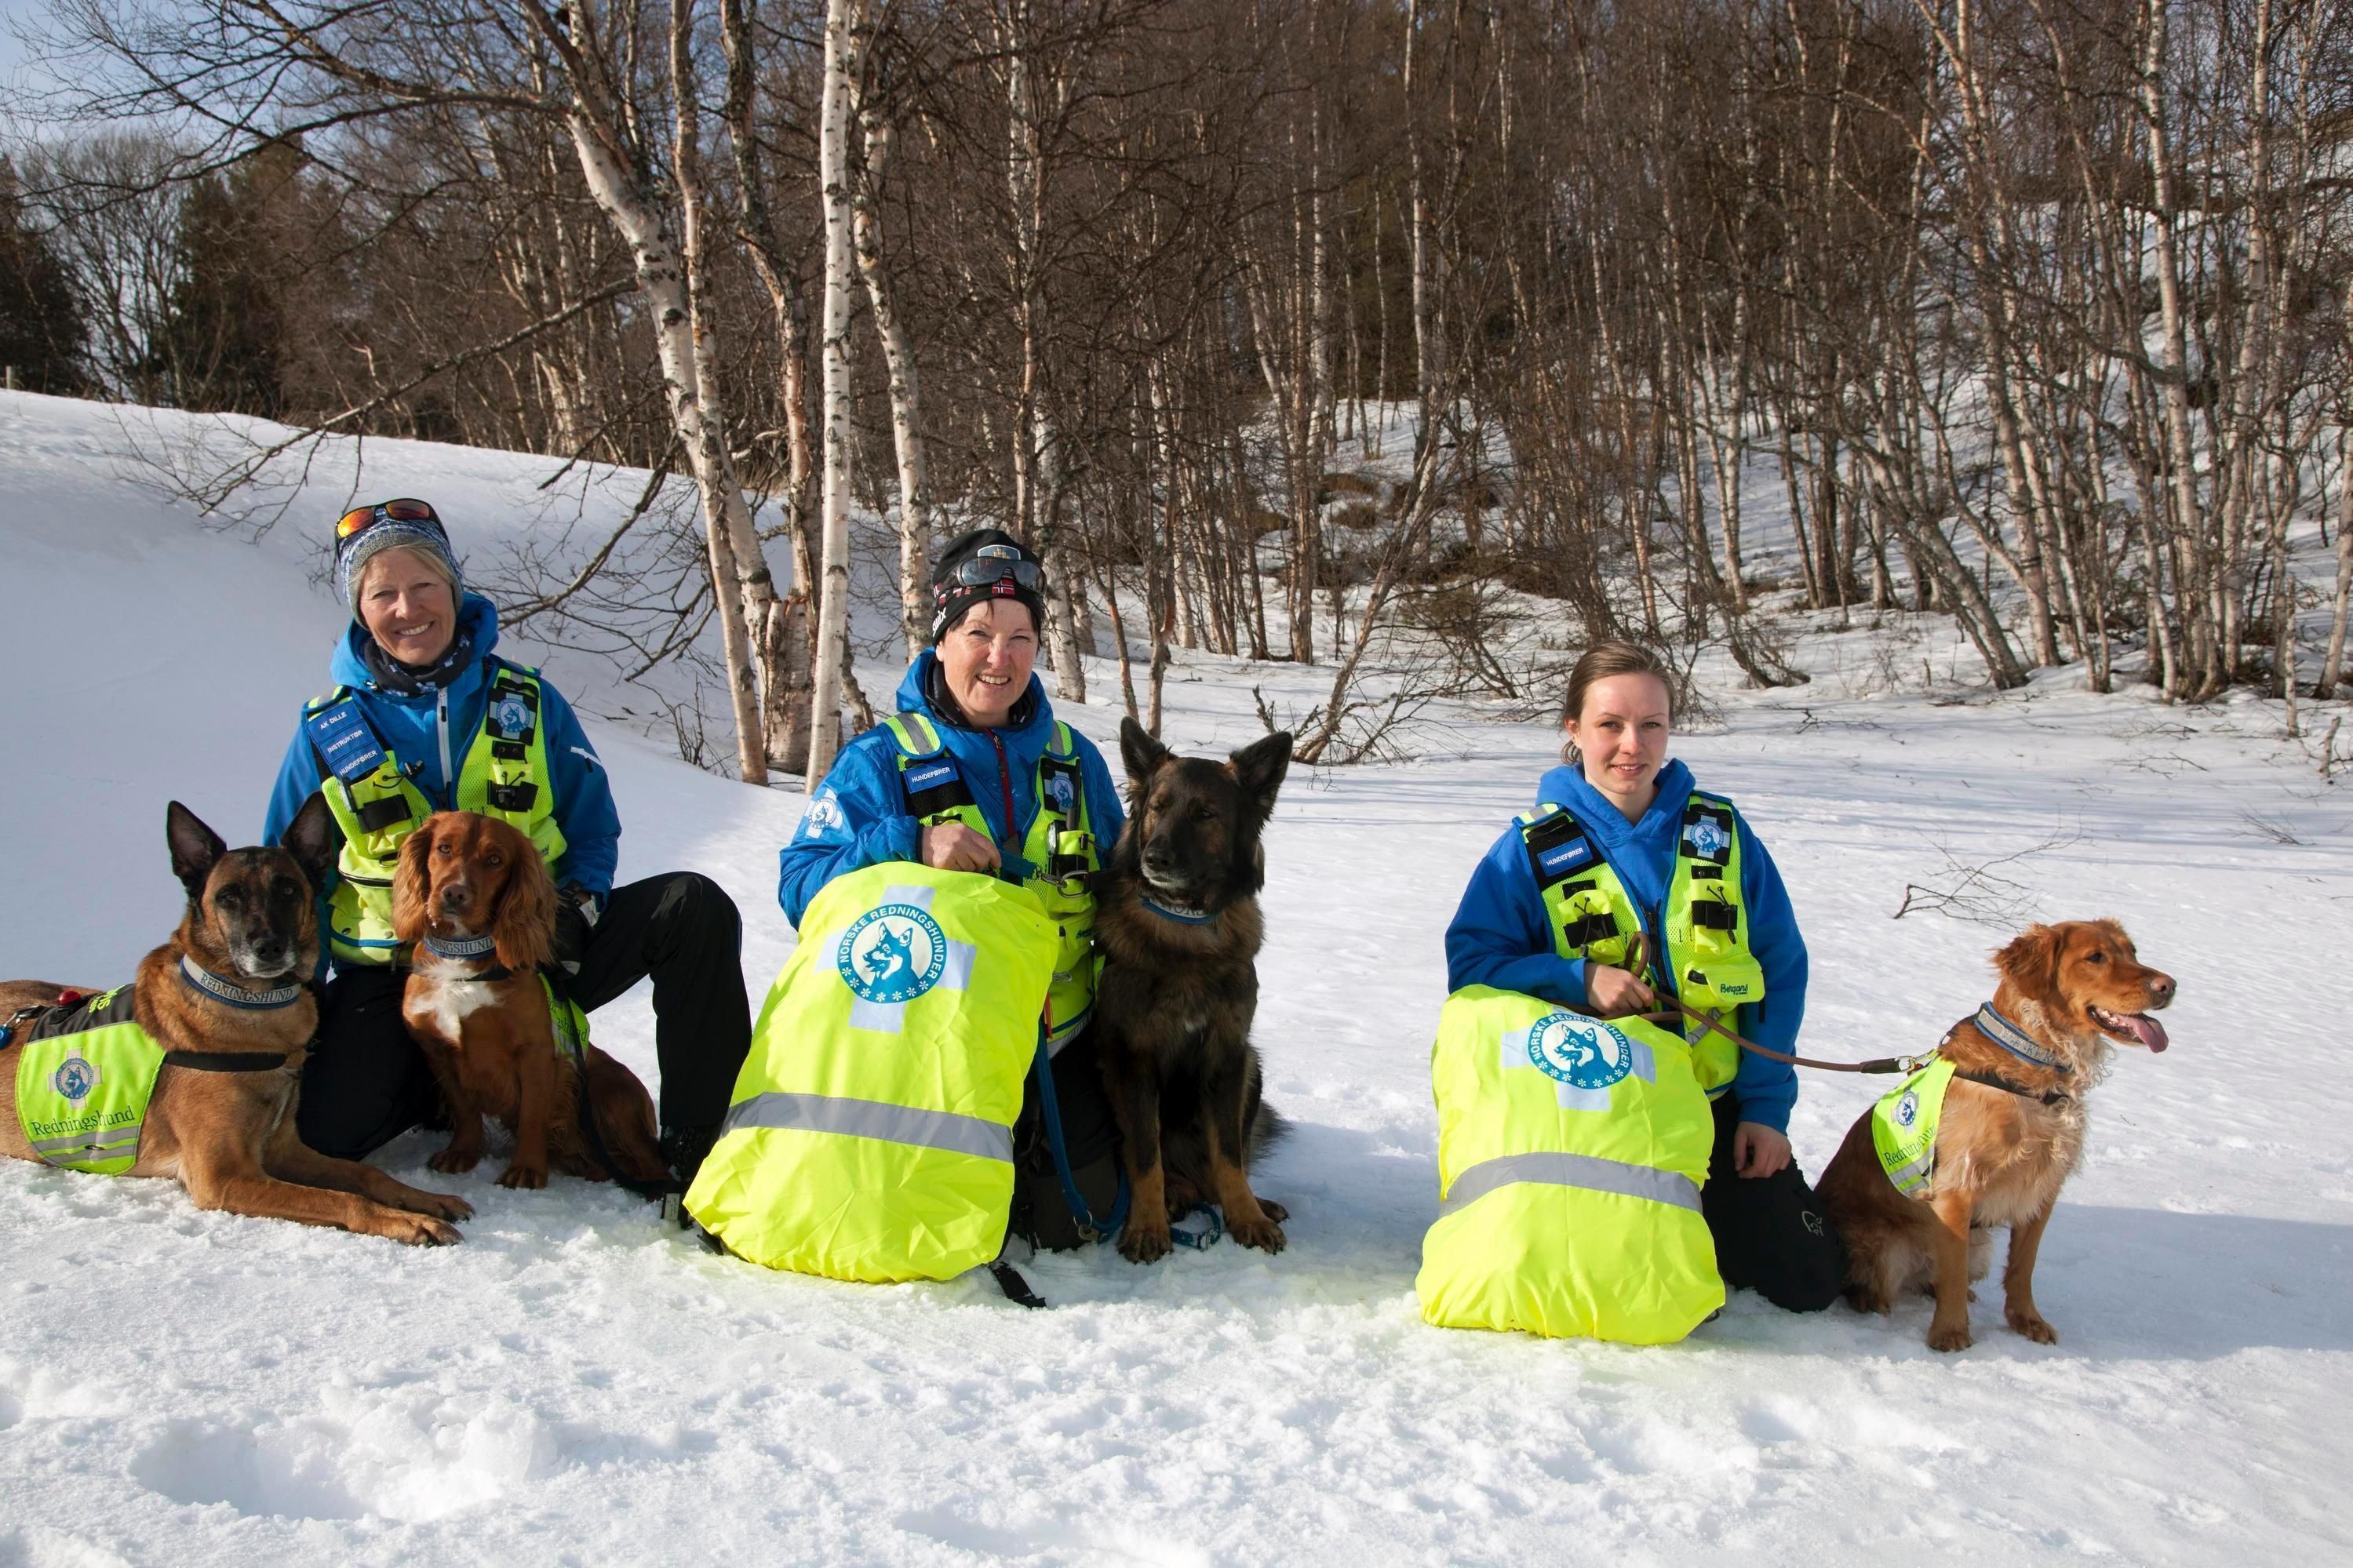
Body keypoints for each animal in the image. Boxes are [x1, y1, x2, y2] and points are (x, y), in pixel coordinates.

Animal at [0, 798, 470, 1244]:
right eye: (228, 897)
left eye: (288, 890)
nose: (269, 948)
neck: (250, 1006)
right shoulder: (225, 1177)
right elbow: (341, 1199)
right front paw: (408, 1222)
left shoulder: (284, 1150)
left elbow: (365, 1174)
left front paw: (426, 1200)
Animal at [392, 811, 667, 1192]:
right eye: (444, 848)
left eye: (495, 860)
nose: (455, 893)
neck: (462, 958)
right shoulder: (439, 1052)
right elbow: (465, 1110)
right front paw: (461, 1153)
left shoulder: (535, 1051)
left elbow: (533, 1115)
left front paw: (526, 1169)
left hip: (609, 1090)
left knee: (651, 1165)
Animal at [1092, 719, 1293, 1263]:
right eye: (1158, 808)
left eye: (1205, 814)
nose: (1155, 858)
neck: (1186, 927)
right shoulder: (1133, 1061)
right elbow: (1145, 1155)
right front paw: (1146, 1226)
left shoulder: (1228, 1056)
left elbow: (1230, 1155)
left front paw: (1247, 1217)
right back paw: (1176, 1198)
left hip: (1254, 1068)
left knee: (1216, 1171)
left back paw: (1252, 1202)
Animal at [1817, 919, 2175, 1351]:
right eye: (2095, 957)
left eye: (2132, 951)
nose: (2170, 986)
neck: (2034, 1064)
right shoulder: (1958, 1188)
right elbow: (1953, 1274)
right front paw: (1950, 1333)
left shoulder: (2041, 1191)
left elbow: (2022, 1268)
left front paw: (2026, 1321)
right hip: (1887, 1246)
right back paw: (1874, 1301)